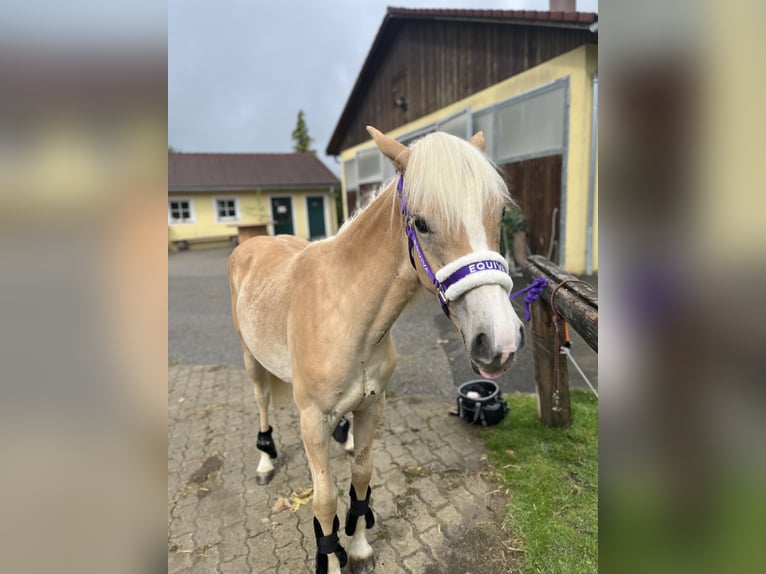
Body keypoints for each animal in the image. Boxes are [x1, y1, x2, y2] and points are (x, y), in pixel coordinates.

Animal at [228, 127, 524, 574]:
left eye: (500, 214)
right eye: (421, 222)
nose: (500, 342)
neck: (348, 313)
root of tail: (251, 245)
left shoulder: (372, 406)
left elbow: (363, 478)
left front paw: (361, 549)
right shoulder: (312, 419)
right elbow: (324, 501)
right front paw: (335, 559)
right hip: (251, 361)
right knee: (262, 401)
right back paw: (265, 461)